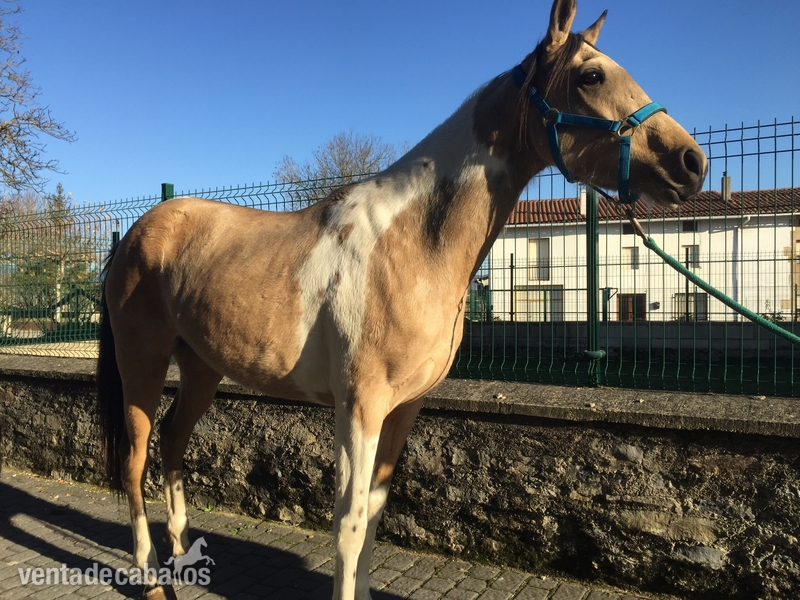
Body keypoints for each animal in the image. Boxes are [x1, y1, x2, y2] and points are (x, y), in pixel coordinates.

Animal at [97, 1, 706, 598]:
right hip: (142, 363)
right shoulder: (359, 409)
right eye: (591, 75)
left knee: (172, 445)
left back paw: (182, 557)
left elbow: (372, 519)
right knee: (134, 460)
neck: (413, 242)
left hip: (201, 367)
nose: (691, 162)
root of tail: (136, 232)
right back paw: (152, 578)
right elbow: (347, 524)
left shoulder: (402, 409)